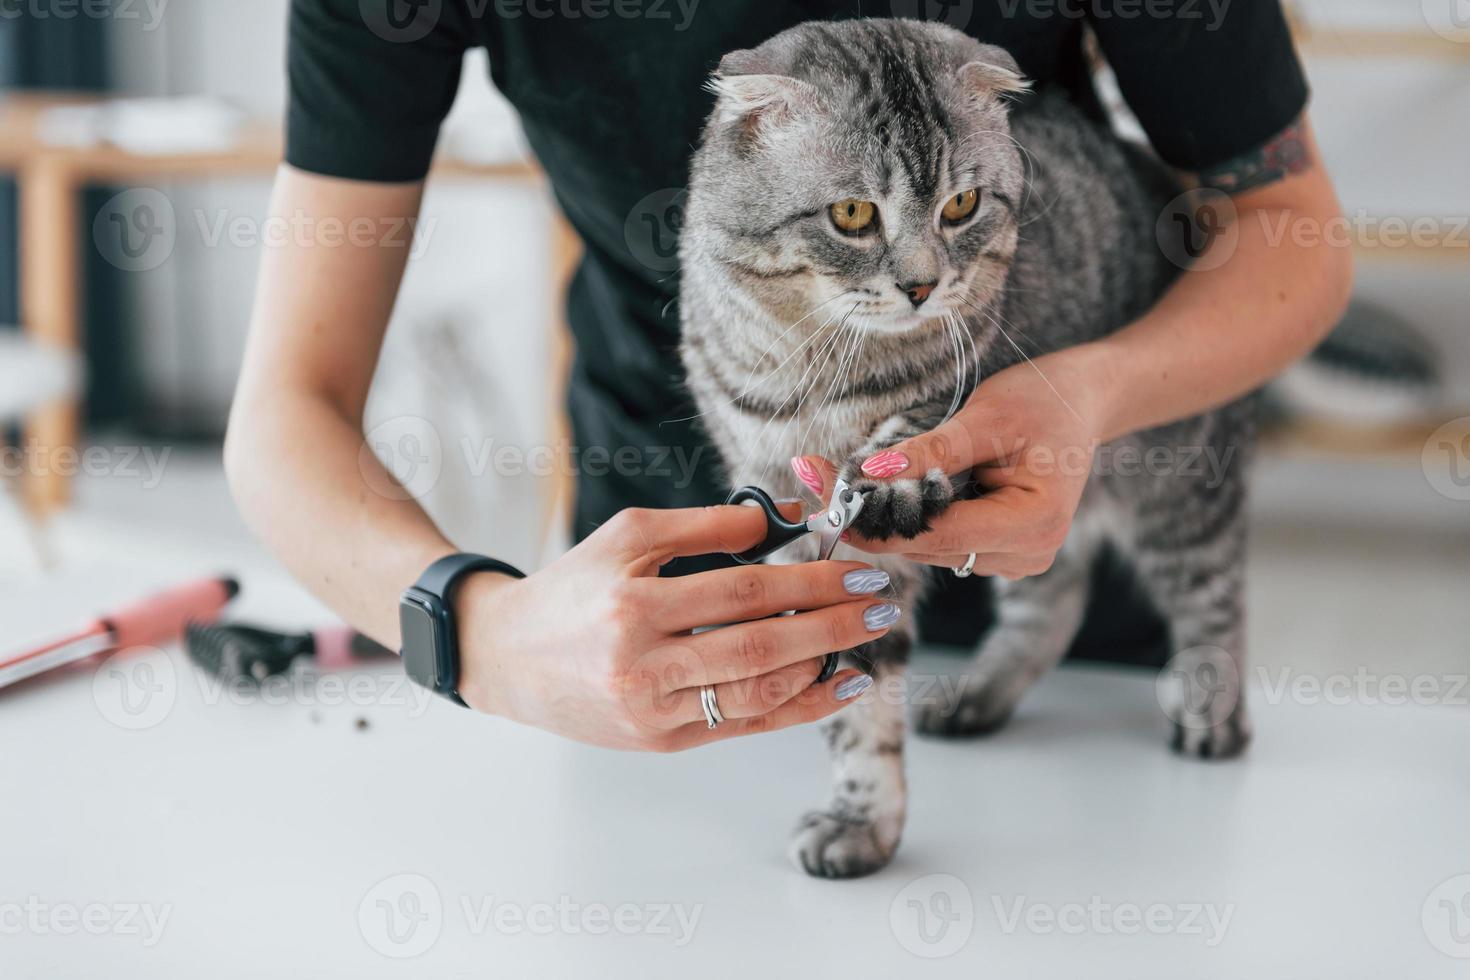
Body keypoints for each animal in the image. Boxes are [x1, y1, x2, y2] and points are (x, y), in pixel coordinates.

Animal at [676, 19, 1252, 875]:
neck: (808, 364)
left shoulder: (953, 398)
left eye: (963, 205)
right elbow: (857, 698)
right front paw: (862, 817)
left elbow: (907, 442)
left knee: (1213, 595)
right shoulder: (785, 504)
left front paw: (889, 480)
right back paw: (979, 693)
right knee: (1053, 599)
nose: (921, 286)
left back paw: (1214, 713)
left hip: (1183, 484)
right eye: (853, 213)